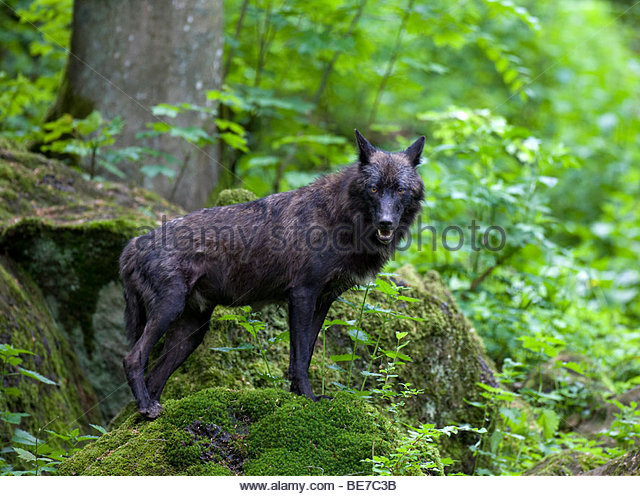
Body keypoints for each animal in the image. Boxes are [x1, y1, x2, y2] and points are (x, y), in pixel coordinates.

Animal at [119, 130, 424, 416]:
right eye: (373, 189)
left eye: (400, 190)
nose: (386, 222)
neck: (341, 217)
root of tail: (133, 244)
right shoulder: (302, 294)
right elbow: (299, 359)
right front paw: (309, 398)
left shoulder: (323, 300)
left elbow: (305, 354)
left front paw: (297, 396)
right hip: (170, 309)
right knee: (132, 358)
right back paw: (146, 407)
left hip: (192, 331)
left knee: (155, 375)